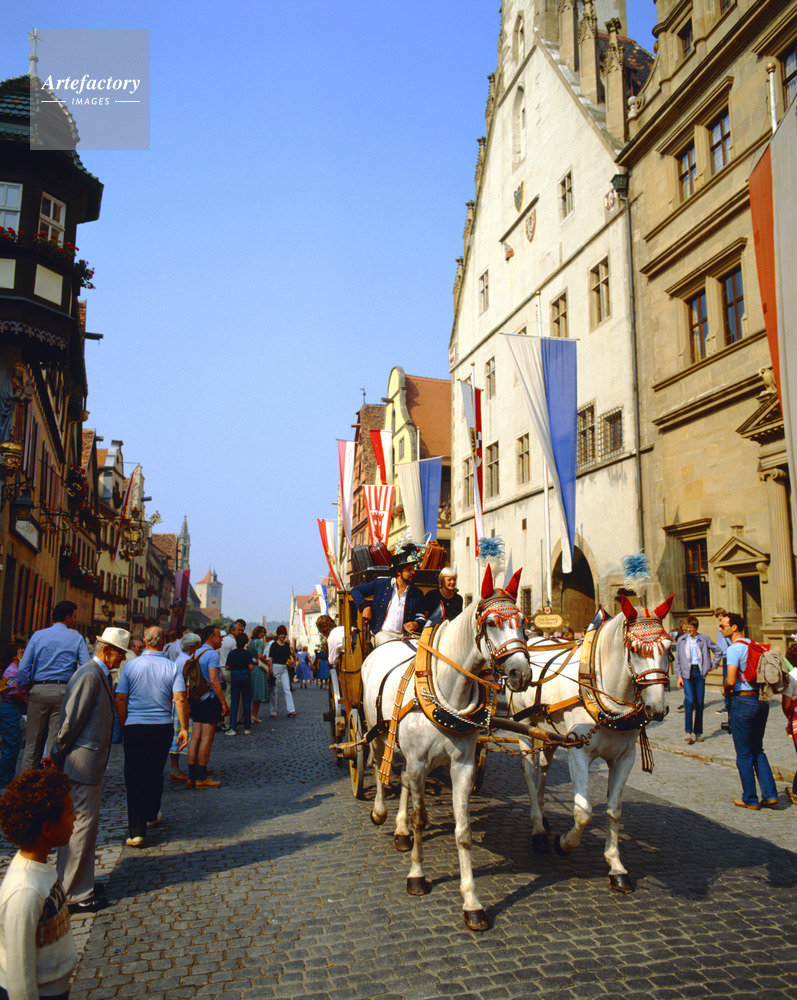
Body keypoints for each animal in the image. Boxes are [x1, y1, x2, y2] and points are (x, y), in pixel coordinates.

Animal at [361, 566, 533, 932]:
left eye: (523, 620)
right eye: (492, 622)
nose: (521, 674)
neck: (447, 689)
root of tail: (389, 643)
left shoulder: (462, 765)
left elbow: (462, 830)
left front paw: (472, 903)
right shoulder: (418, 761)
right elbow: (421, 818)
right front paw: (417, 876)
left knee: (404, 783)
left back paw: (400, 830)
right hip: (377, 731)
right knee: (379, 766)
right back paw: (381, 812)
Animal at [507, 594, 673, 892]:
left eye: (668, 647)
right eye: (634, 649)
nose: (657, 709)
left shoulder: (624, 758)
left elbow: (614, 811)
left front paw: (617, 867)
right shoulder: (579, 753)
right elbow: (583, 812)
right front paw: (564, 844)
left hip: (548, 733)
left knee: (544, 770)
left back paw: (544, 816)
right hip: (524, 728)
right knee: (528, 772)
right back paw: (538, 829)